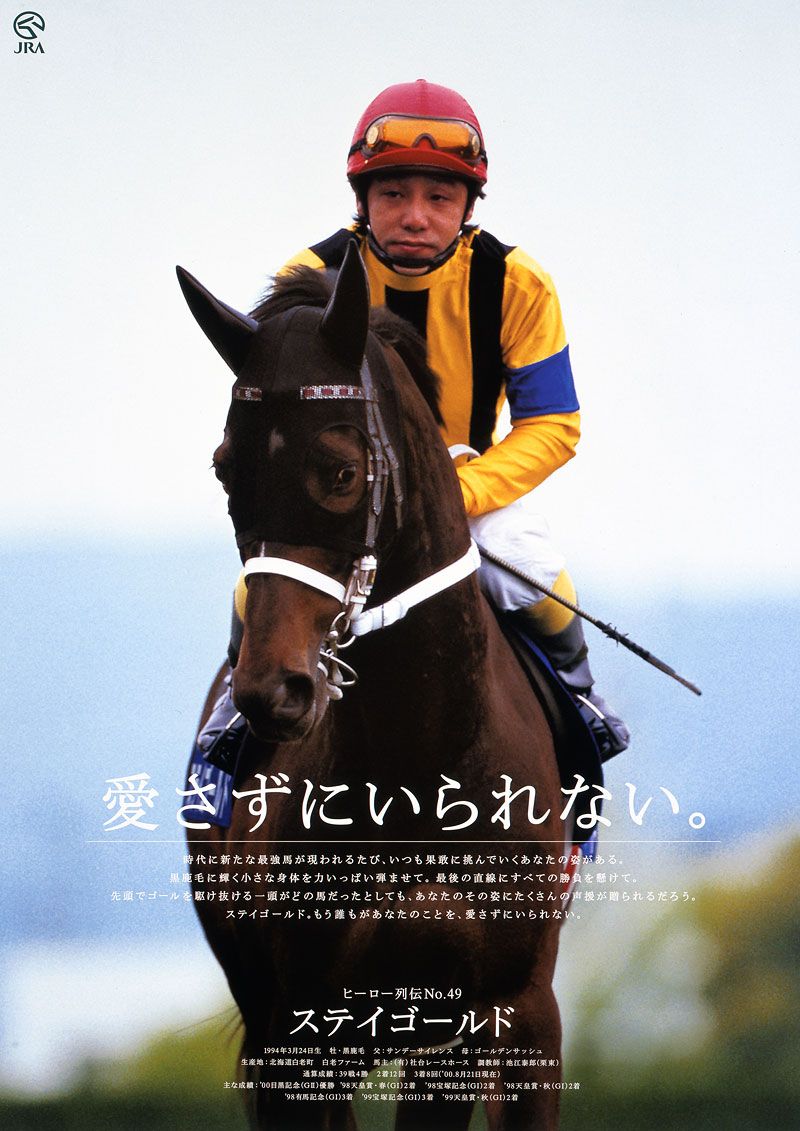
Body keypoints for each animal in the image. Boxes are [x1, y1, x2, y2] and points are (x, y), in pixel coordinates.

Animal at [178, 243, 581, 1130]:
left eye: (340, 470)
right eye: (225, 470)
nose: (274, 691)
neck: (420, 767)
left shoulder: (515, 1009)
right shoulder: (298, 1026)